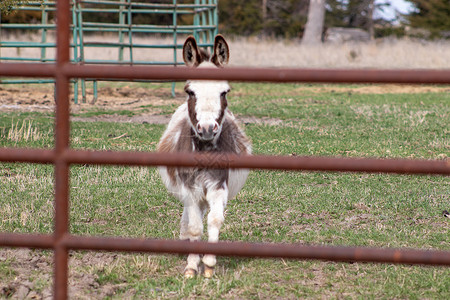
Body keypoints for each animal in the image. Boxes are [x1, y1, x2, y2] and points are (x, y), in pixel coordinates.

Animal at [157, 35, 250, 278]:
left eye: (224, 92)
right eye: (190, 92)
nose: (207, 129)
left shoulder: (218, 186)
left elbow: (215, 220)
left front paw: (208, 265)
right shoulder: (189, 187)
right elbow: (194, 226)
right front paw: (191, 266)